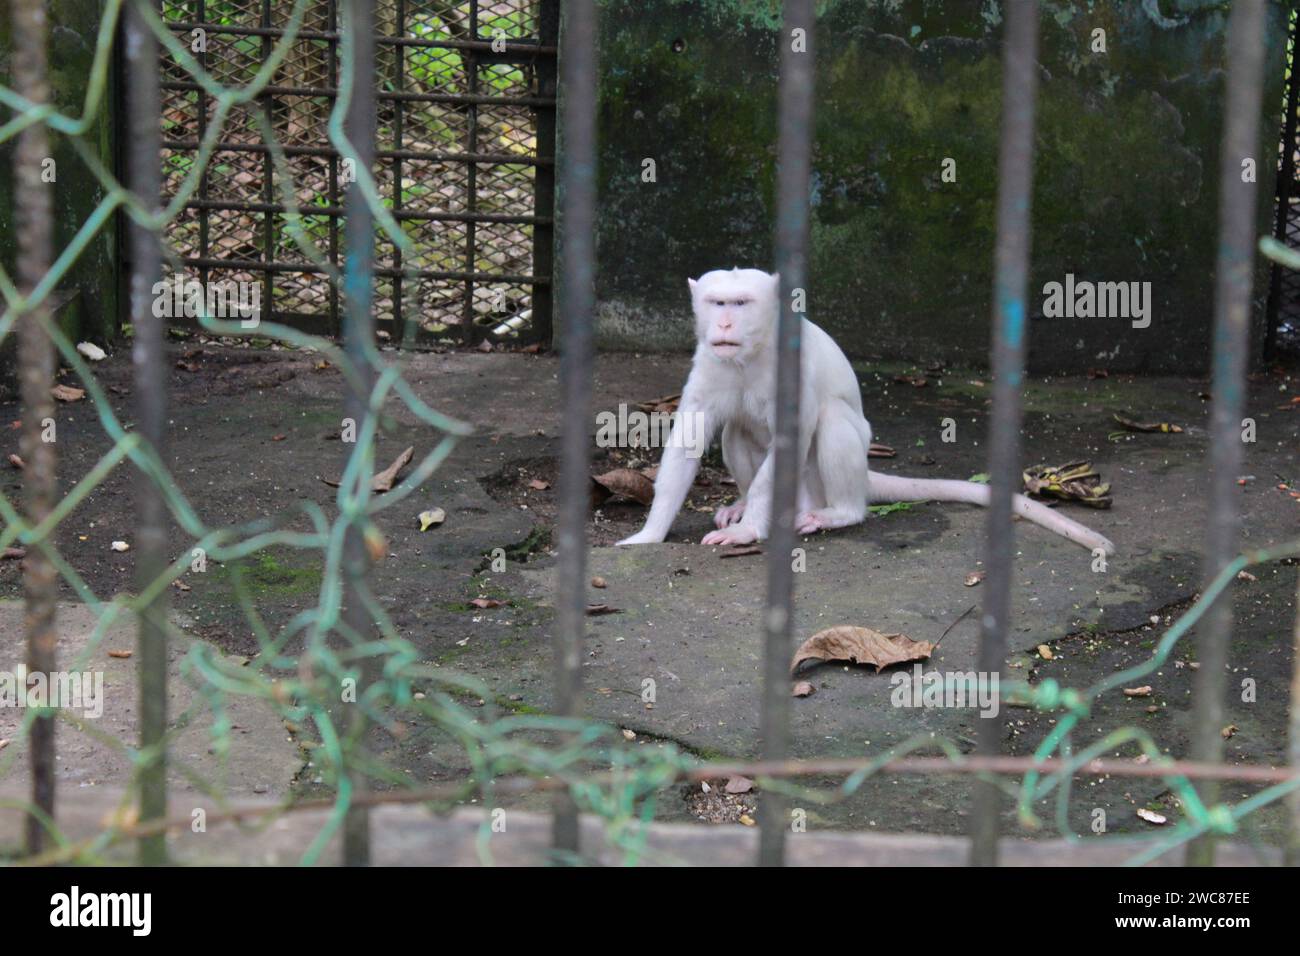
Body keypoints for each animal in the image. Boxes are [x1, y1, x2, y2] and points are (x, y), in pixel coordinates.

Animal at [616, 267, 1118, 554]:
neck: (752, 353)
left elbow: (796, 435)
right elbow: (689, 438)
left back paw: (840, 513)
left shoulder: (792, 368)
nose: (722, 325)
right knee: (737, 430)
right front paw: (651, 532)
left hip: (817, 486)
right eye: (716, 303)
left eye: (740, 303)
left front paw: (747, 533)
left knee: (832, 422)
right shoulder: (710, 361)